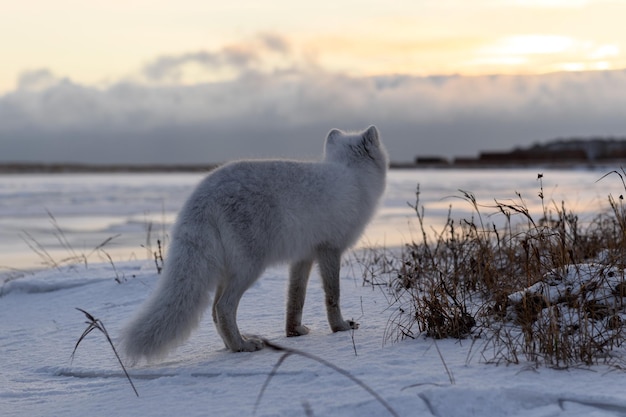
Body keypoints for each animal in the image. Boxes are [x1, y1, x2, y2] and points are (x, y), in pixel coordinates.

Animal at [119, 126, 388, 360]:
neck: (353, 175)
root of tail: (202, 195)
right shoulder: (330, 249)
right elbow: (333, 295)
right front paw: (340, 327)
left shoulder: (303, 256)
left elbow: (295, 298)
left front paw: (294, 332)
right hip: (249, 268)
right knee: (223, 308)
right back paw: (242, 346)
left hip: (228, 270)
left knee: (215, 312)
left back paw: (232, 345)